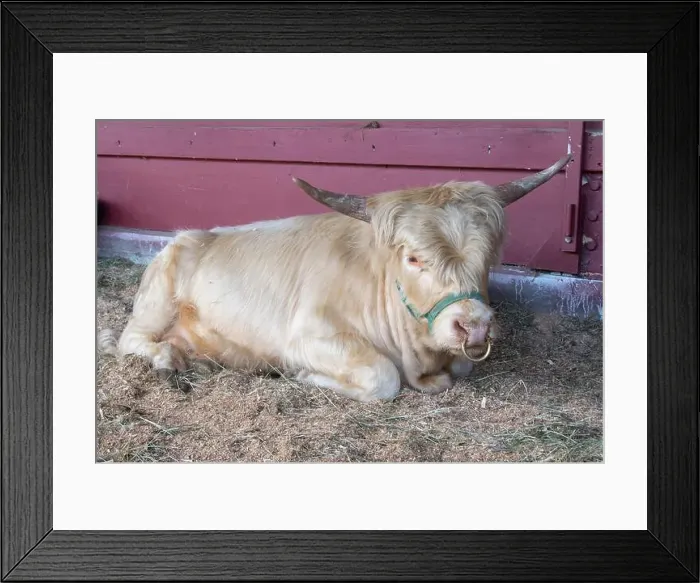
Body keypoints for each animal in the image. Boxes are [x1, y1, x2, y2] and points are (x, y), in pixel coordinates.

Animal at [99, 153, 572, 402]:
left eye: (489, 255)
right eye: (414, 258)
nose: (473, 325)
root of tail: (187, 236)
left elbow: (461, 366)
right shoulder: (307, 337)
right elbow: (383, 377)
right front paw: (306, 377)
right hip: (155, 305)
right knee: (130, 341)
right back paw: (167, 358)